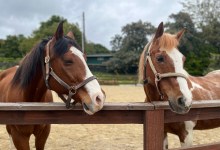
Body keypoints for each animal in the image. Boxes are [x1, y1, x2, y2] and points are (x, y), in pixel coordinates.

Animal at [0, 21, 105, 150]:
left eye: (85, 58)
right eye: (68, 61)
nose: (99, 98)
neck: (29, 102)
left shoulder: (43, 134)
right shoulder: (19, 138)